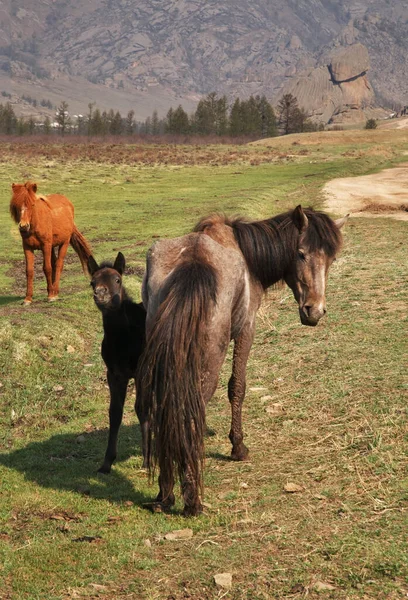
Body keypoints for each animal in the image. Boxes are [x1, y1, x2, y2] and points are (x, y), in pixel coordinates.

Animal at [87, 252, 147, 474]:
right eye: (92, 282)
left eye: (117, 279)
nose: (100, 294)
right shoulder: (114, 374)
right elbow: (115, 412)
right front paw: (106, 463)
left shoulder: (141, 371)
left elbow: (141, 409)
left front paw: (148, 459)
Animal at [137, 205, 348, 516]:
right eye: (300, 253)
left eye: (330, 259)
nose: (315, 311)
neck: (246, 256)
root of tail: (194, 263)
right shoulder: (247, 329)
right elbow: (237, 387)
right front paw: (238, 447)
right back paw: (192, 499)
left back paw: (165, 494)